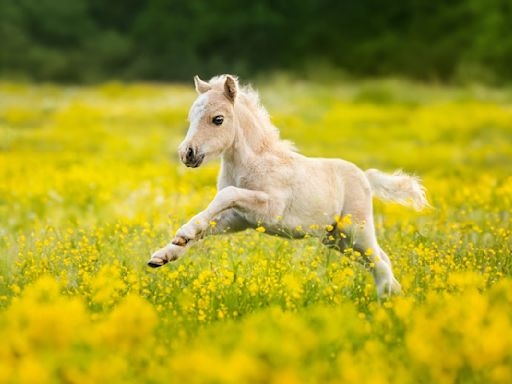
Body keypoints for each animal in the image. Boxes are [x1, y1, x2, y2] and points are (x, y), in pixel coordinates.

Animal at [148, 75, 428, 296]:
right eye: (191, 117)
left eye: (218, 119)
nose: (187, 154)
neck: (253, 162)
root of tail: (366, 177)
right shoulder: (239, 219)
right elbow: (208, 223)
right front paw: (165, 254)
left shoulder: (270, 208)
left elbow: (226, 194)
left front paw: (182, 233)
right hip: (338, 240)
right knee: (380, 262)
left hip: (356, 231)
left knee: (380, 263)